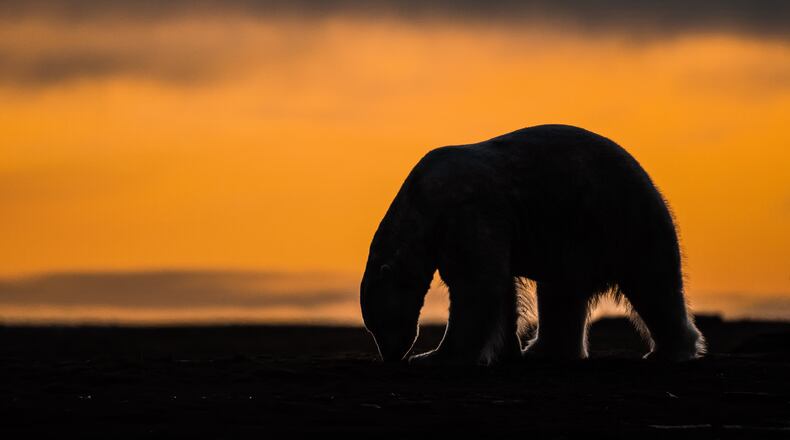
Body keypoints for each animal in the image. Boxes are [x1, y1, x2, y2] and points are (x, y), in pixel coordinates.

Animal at [360, 124, 706, 365]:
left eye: (378, 323)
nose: (392, 354)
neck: (423, 201)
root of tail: (647, 178)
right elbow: (501, 288)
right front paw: (506, 350)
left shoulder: (467, 210)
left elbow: (476, 283)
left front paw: (434, 355)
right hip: (574, 239)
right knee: (562, 294)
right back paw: (544, 350)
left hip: (620, 220)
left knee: (652, 283)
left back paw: (669, 351)